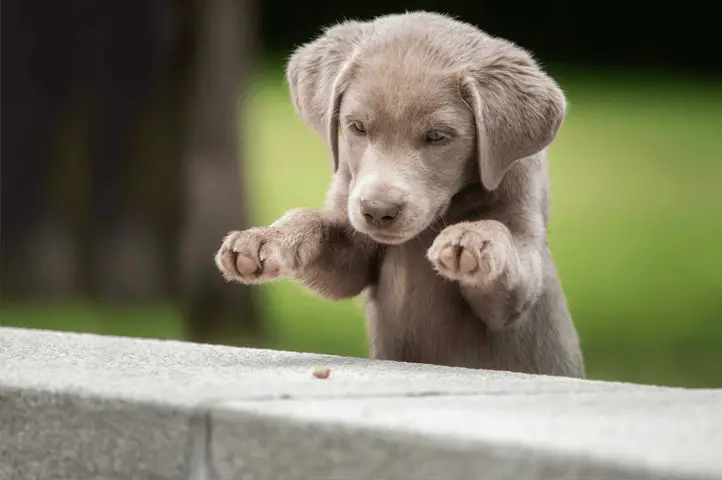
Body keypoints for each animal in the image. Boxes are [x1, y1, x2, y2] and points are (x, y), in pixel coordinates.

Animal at [215, 11, 584, 376]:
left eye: (437, 136)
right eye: (357, 127)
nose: (378, 210)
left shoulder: (518, 284)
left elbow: (502, 238)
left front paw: (472, 237)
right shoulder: (353, 248)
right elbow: (314, 224)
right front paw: (263, 239)